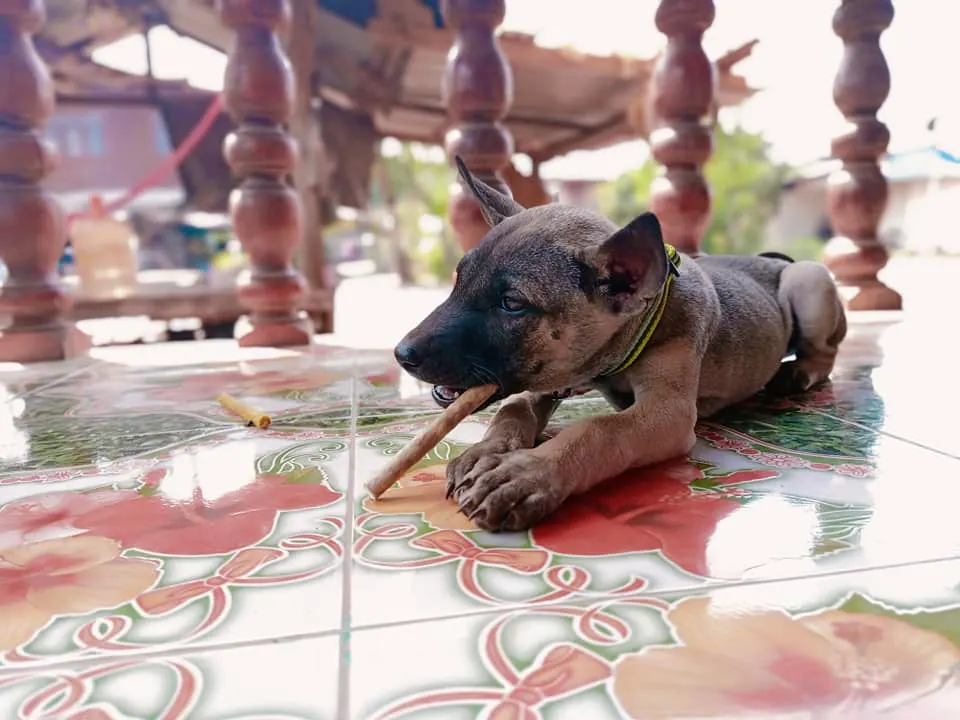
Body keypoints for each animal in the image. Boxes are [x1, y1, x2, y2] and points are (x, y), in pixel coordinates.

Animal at [393, 158, 847, 532]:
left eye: (512, 304)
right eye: (458, 279)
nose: (402, 354)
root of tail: (772, 259)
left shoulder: (670, 412)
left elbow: (598, 430)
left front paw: (525, 473)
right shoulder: (546, 379)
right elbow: (512, 409)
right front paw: (485, 451)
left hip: (807, 281)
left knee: (825, 352)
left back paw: (798, 371)